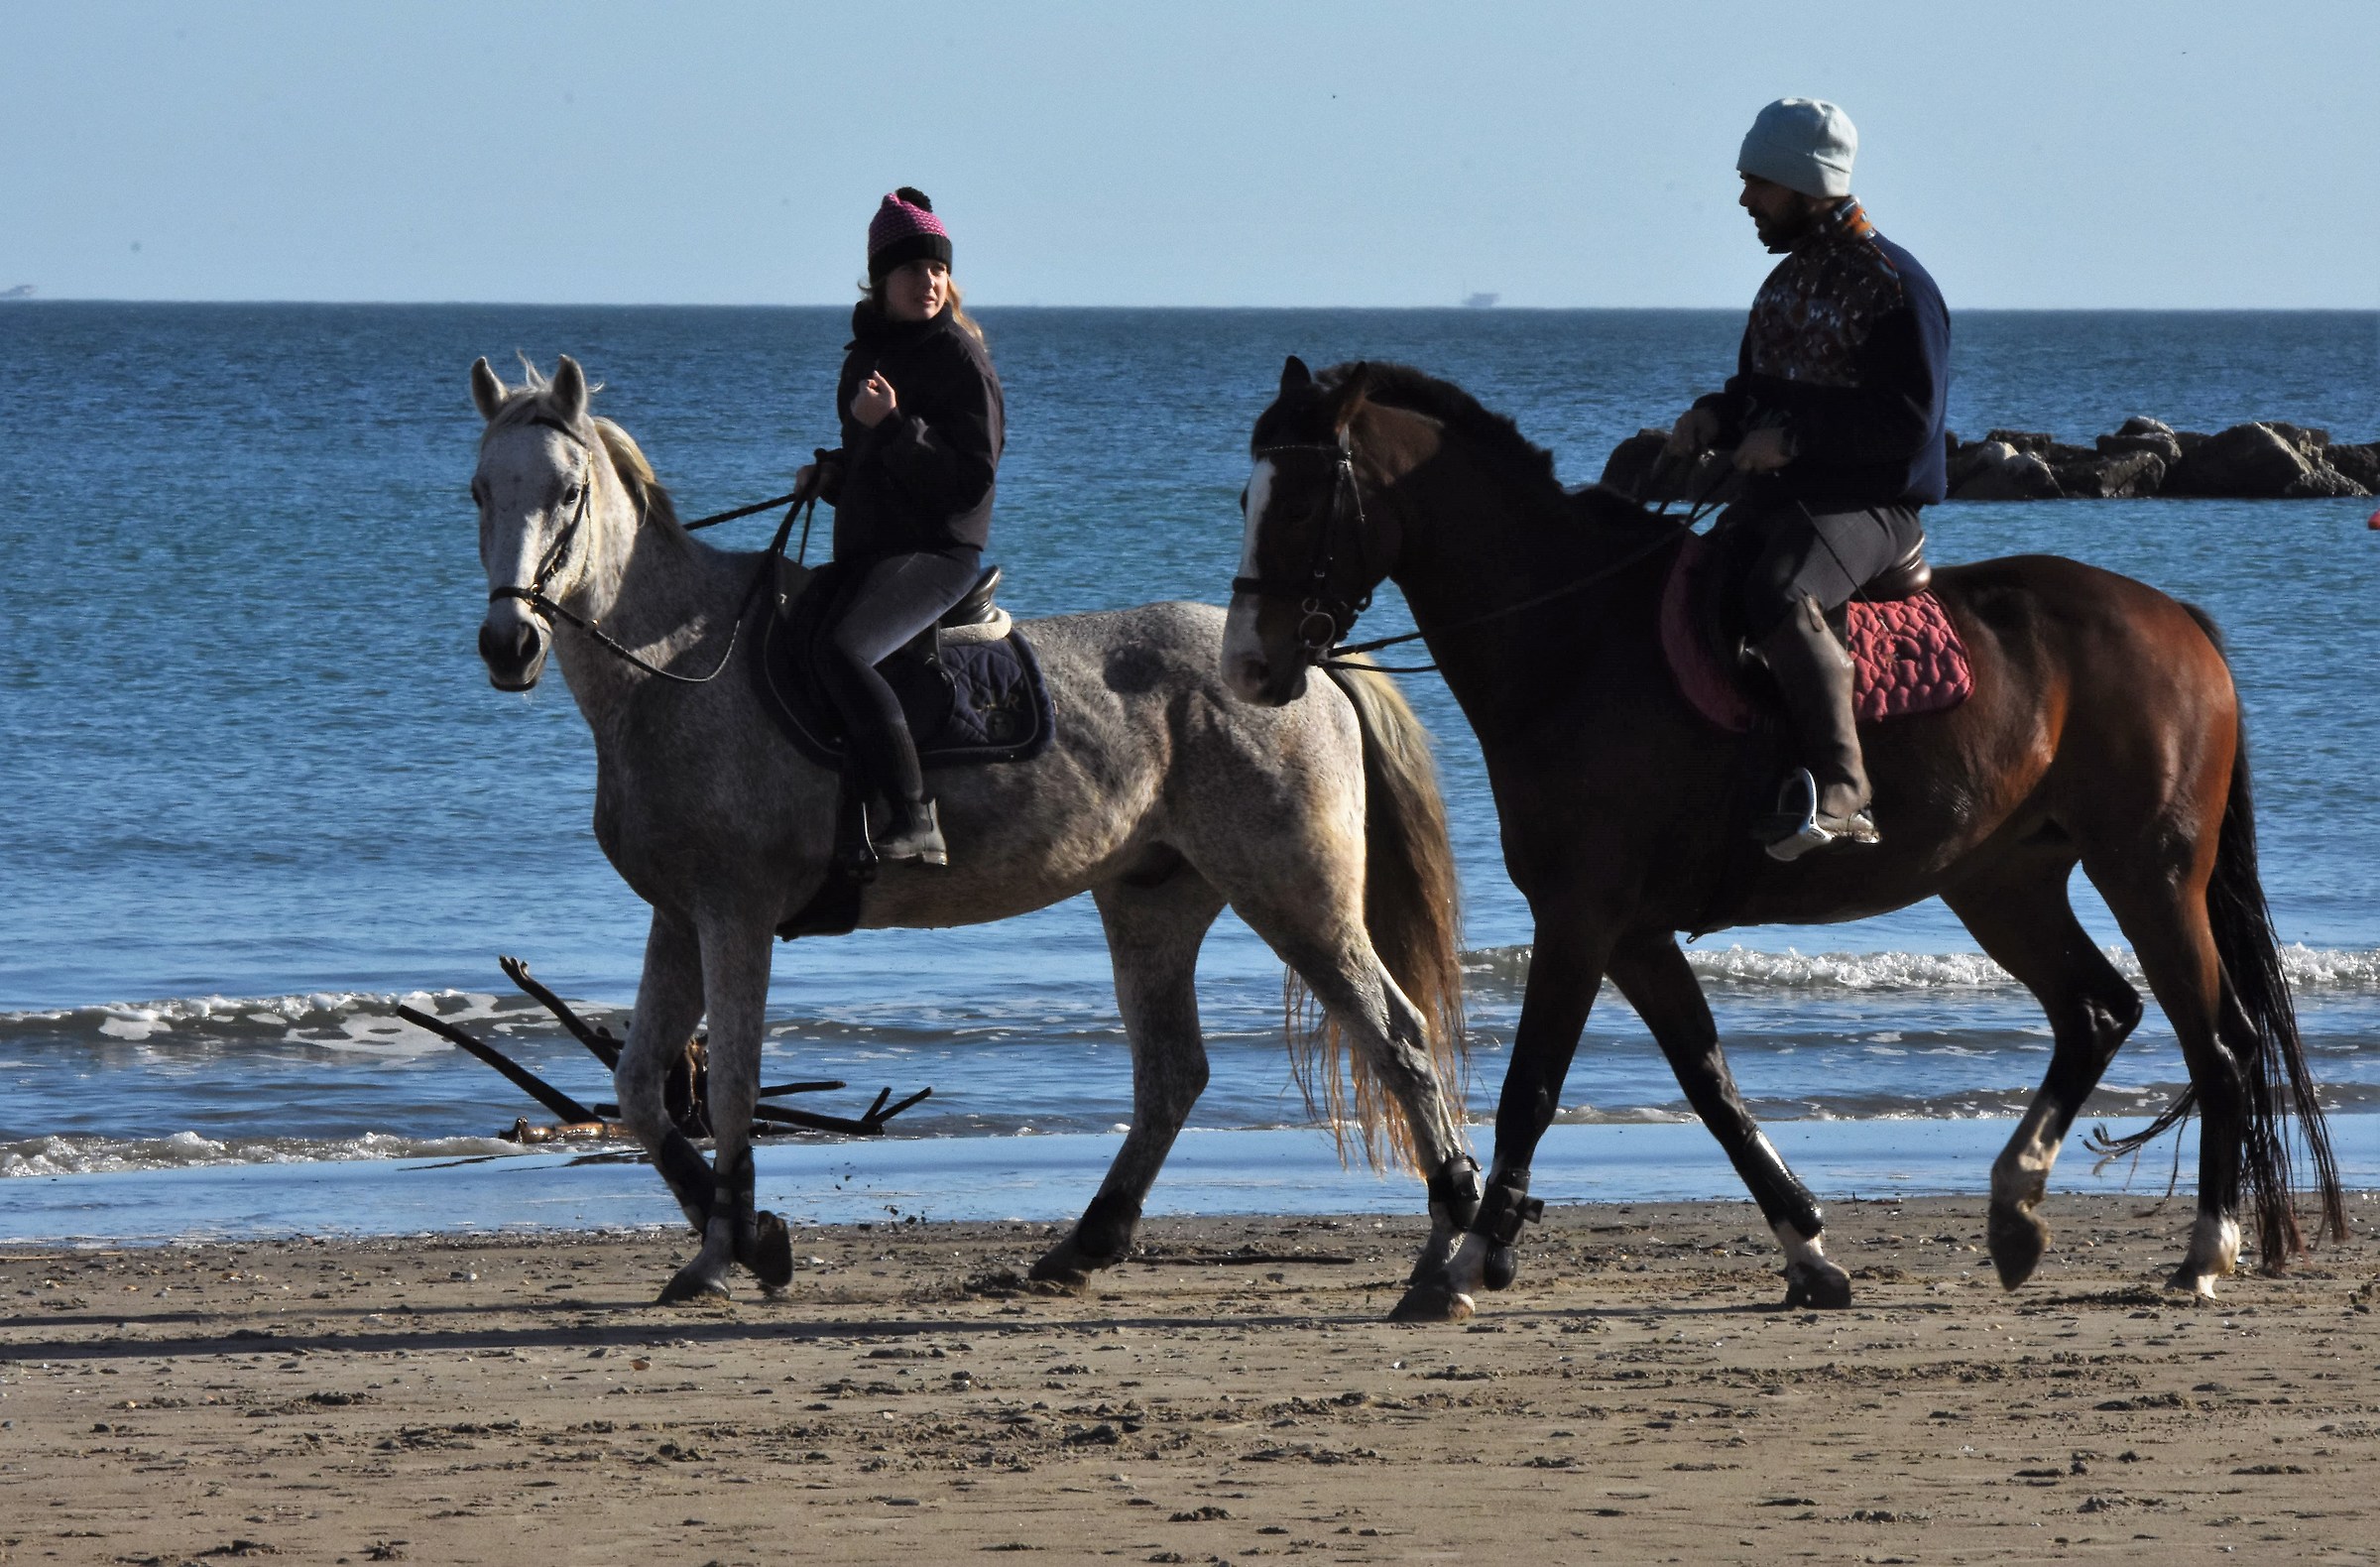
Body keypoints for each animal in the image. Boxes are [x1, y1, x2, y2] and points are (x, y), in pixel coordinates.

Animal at [466, 355, 1473, 1305]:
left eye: (568, 491)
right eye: (480, 490)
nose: (509, 645)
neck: (678, 664)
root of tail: (1309, 669)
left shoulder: (733, 915)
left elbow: (733, 1085)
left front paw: (726, 1250)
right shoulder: (679, 918)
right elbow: (641, 1089)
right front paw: (750, 1241)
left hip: (1297, 896)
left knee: (1396, 1036)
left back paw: (1449, 1239)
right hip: (1153, 900)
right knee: (1173, 1073)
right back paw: (1086, 1243)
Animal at [1223, 355, 2342, 1322]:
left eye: (1299, 502)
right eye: (1246, 499)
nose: (1246, 665)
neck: (1577, 640)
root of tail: (2179, 623)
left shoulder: (1582, 918)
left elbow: (1532, 1088)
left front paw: (1465, 1262)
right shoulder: (1631, 932)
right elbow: (1711, 1084)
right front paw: (1808, 1249)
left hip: (2149, 870)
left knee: (2222, 1045)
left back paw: (2203, 1249)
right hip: (2003, 879)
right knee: (2098, 1010)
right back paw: (2016, 1208)